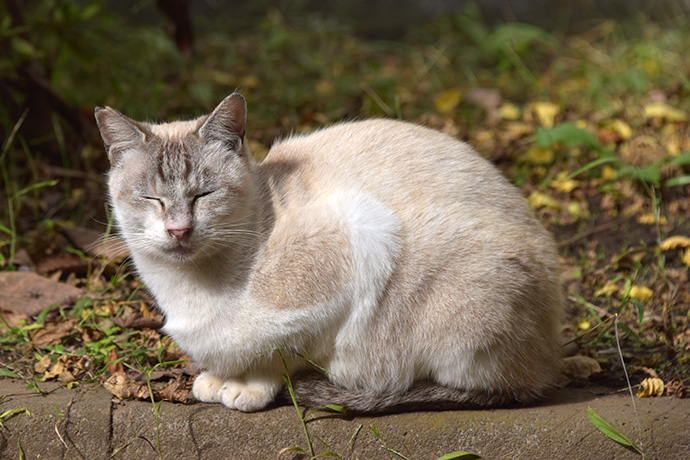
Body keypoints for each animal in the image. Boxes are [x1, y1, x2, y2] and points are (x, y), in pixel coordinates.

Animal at [94, 93, 560, 414]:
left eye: (203, 195)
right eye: (151, 198)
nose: (178, 230)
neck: (191, 287)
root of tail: (548, 363)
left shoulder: (355, 250)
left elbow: (280, 355)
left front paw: (244, 387)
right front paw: (218, 378)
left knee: (485, 390)